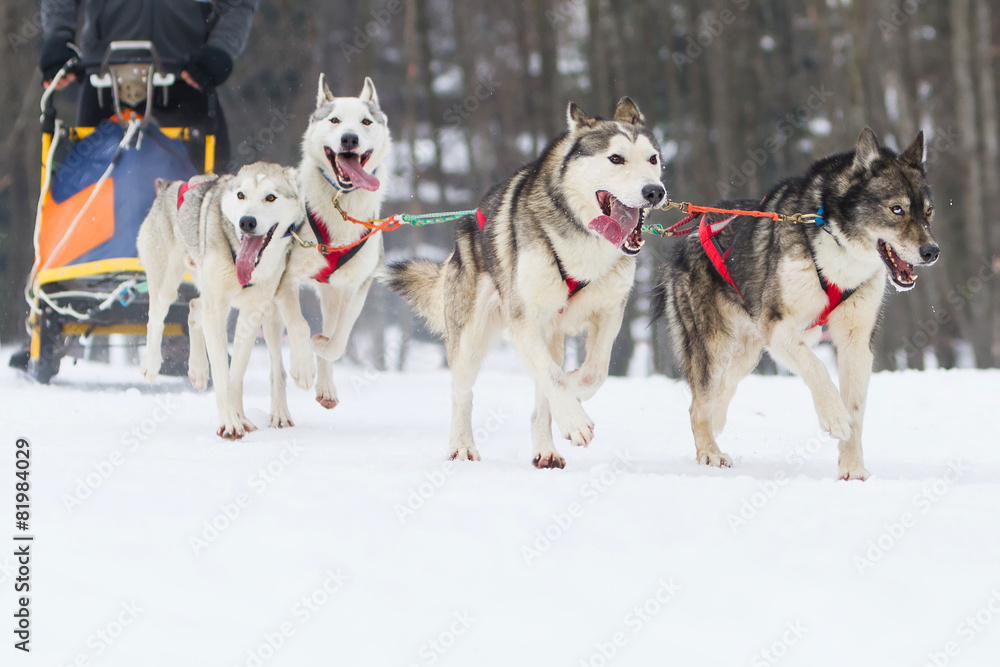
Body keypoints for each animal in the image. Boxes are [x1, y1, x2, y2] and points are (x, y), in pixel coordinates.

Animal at [138, 162, 317, 438]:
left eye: (271, 197)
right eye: (241, 195)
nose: (247, 222)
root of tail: (169, 185)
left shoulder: (252, 313)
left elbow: (236, 374)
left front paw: (239, 417)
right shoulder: (217, 308)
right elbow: (222, 374)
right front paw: (230, 423)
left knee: (194, 307)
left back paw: (199, 370)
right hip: (166, 284)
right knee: (156, 319)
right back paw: (152, 364)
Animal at [384, 98, 665, 468]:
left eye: (653, 159)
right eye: (616, 158)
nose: (655, 191)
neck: (585, 242)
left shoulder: (610, 312)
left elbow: (591, 373)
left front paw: (573, 395)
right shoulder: (525, 319)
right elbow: (552, 377)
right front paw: (575, 419)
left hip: (550, 335)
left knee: (542, 394)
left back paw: (546, 449)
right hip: (471, 338)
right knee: (463, 393)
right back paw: (462, 447)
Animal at [651, 128, 939, 480]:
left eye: (928, 212)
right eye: (896, 209)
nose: (932, 251)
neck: (840, 251)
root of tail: (690, 233)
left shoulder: (855, 341)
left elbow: (856, 409)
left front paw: (853, 469)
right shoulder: (778, 328)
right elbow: (816, 367)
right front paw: (835, 417)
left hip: (747, 353)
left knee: (721, 391)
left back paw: (716, 428)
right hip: (713, 343)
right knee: (697, 405)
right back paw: (710, 453)